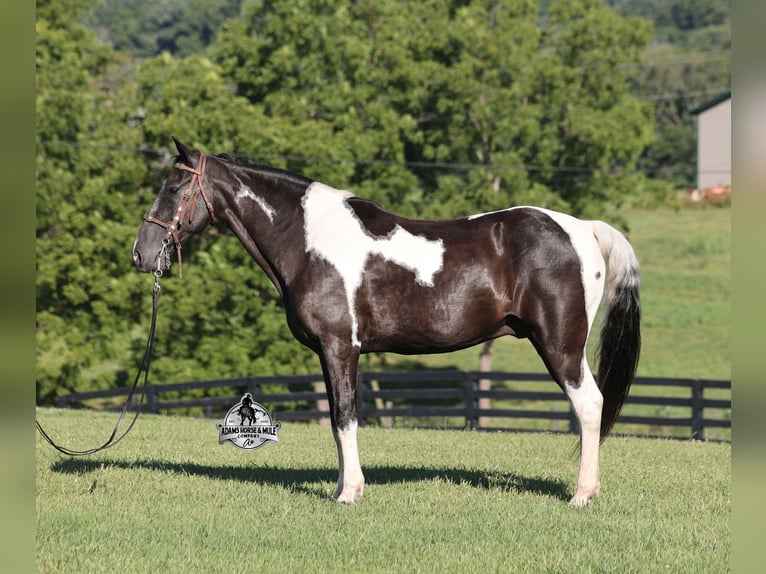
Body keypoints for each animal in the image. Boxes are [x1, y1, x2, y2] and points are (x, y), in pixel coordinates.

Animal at [133, 138, 640, 507]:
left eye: (173, 189)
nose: (141, 252)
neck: (309, 240)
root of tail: (583, 228)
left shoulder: (341, 347)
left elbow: (345, 418)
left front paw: (349, 494)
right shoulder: (330, 354)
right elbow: (337, 418)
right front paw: (342, 487)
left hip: (560, 345)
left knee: (590, 404)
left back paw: (581, 495)